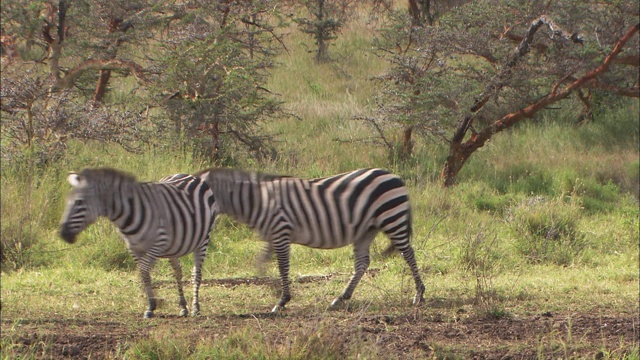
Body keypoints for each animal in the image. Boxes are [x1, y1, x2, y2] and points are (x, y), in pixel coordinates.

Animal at [58, 169, 218, 318]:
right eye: (66, 201)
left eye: (79, 202)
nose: (63, 233)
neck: (128, 213)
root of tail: (188, 175)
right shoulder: (133, 248)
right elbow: (144, 274)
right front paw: (151, 305)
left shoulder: (158, 244)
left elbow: (145, 271)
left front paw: (153, 304)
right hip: (174, 246)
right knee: (177, 271)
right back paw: (183, 306)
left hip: (203, 240)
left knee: (196, 274)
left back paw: (195, 308)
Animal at [195, 167, 424, 310]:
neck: (258, 201)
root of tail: (394, 176)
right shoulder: (272, 236)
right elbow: (260, 264)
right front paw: (274, 289)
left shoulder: (281, 232)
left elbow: (282, 266)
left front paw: (282, 299)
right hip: (367, 230)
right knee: (362, 263)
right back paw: (341, 298)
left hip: (392, 218)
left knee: (408, 253)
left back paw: (419, 294)